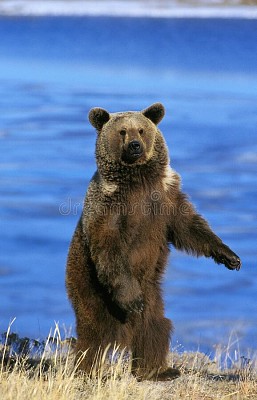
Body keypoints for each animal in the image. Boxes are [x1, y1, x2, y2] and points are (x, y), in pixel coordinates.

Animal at [65, 103, 240, 382]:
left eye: (141, 130)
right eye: (123, 131)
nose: (135, 145)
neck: (138, 179)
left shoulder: (165, 198)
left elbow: (189, 226)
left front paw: (229, 256)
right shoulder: (109, 208)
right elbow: (109, 247)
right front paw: (131, 300)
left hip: (152, 292)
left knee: (154, 326)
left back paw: (158, 370)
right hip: (88, 282)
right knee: (95, 333)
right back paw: (87, 371)